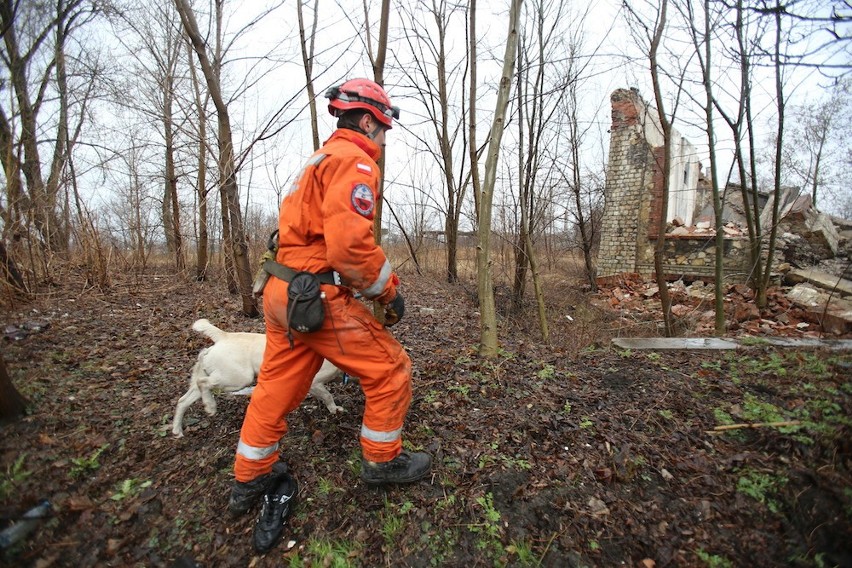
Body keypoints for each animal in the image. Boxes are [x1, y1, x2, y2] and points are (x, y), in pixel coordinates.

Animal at [171, 318, 344, 438]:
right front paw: (335, 409)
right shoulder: (314, 382)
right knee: (203, 383)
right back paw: (210, 406)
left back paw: (177, 430)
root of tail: (223, 337)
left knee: (183, 400)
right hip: (239, 378)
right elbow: (328, 395)